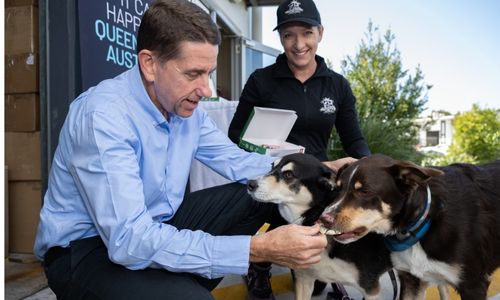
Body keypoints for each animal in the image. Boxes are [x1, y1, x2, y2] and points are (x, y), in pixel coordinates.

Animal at [246, 154, 394, 300]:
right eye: (272, 166)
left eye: (288, 174)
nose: (250, 184)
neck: (316, 213)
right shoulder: (303, 278)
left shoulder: (370, 290)